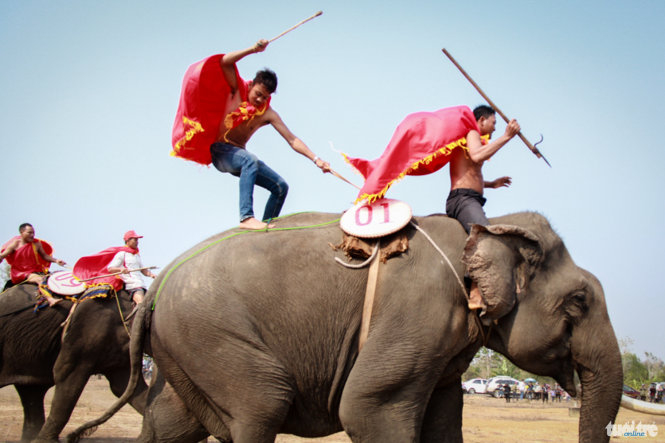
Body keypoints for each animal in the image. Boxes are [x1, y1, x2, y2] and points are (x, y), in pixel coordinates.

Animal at [71, 212, 624, 443]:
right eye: (579, 301)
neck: (483, 228)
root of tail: (155, 285)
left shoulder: (447, 351)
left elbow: (443, 423)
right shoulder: (418, 313)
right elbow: (368, 408)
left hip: (183, 348)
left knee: (170, 424)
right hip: (211, 334)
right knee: (261, 406)